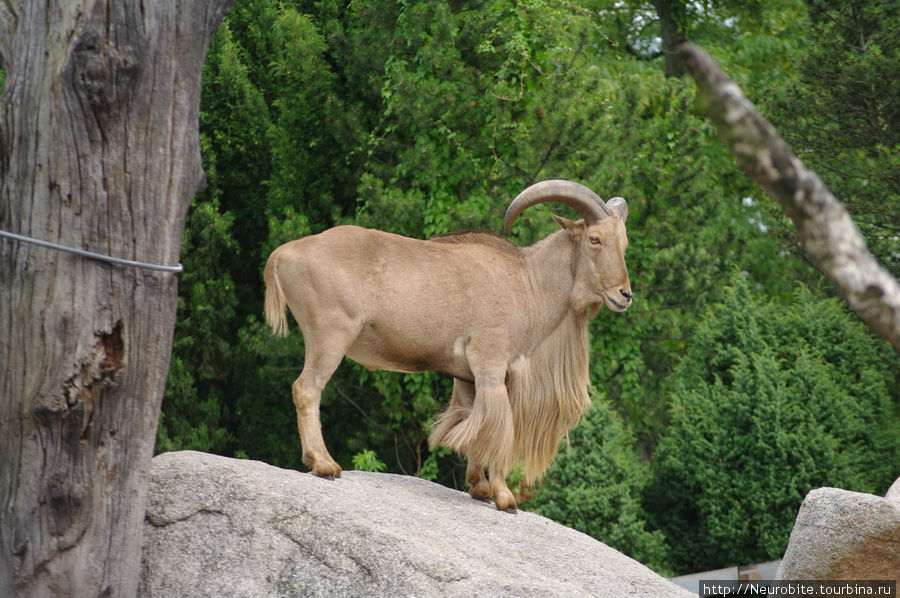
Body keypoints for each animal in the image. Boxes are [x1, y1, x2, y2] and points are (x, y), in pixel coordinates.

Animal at [266, 180, 632, 512]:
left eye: (624, 243)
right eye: (595, 239)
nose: (625, 294)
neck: (527, 282)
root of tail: (283, 254)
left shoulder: (468, 378)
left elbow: (474, 421)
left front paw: (479, 487)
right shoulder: (492, 366)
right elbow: (497, 427)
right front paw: (504, 497)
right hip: (330, 336)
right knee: (307, 388)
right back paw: (323, 463)